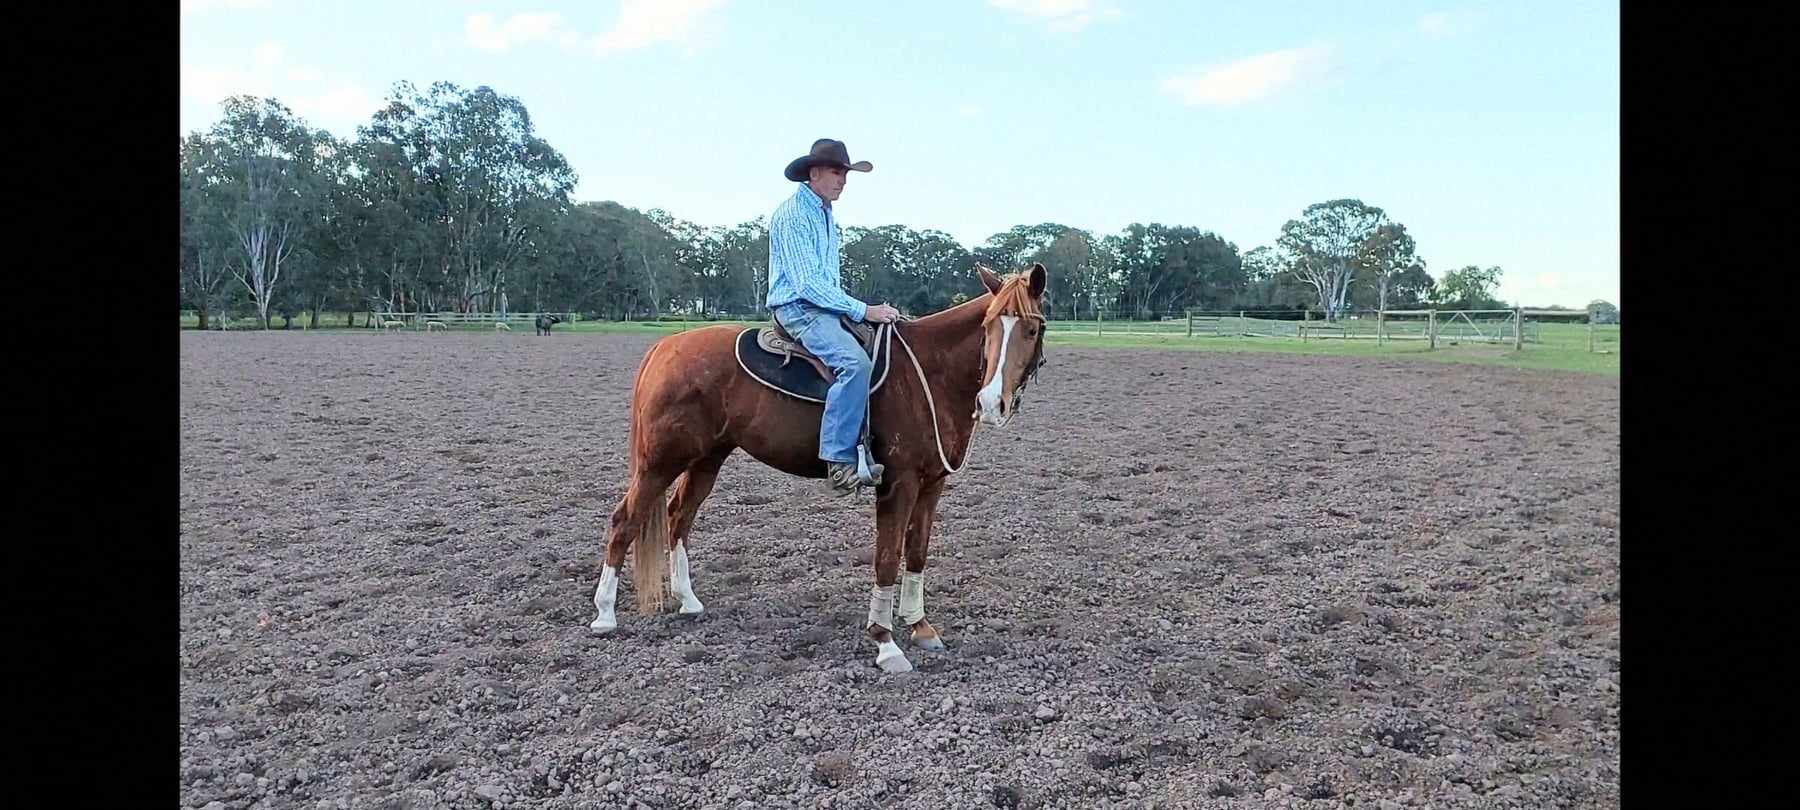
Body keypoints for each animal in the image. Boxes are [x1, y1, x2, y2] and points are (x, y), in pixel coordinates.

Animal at [589, 263, 1048, 673]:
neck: (930, 371)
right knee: (625, 520)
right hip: (659, 463)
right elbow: (886, 558)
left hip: (707, 459)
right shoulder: (897, 484)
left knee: (678, 518)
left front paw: (920, 626)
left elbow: (917, 553)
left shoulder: (932, 484)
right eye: (988, 326)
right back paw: (605, 615)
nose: (991, 402)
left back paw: (688, 601)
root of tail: (664, 348)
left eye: (1031, 329)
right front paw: (885, 643)